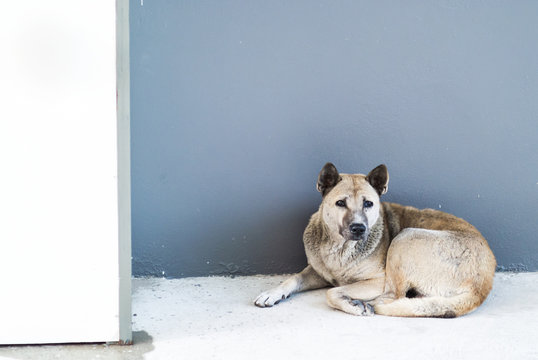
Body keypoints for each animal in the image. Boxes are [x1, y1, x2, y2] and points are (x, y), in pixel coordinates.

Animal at [255, 163, 494, 318]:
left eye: (368, 204)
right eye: (340, 203)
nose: (359, 228)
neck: (340, 249)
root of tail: (482, 285)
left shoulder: (377, 281)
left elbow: (332, 292)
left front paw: (351, 304)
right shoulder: (316, 272)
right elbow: (293, 278)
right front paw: (271, 293)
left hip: (405, 237)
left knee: (394, 296)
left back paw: (364, 303)